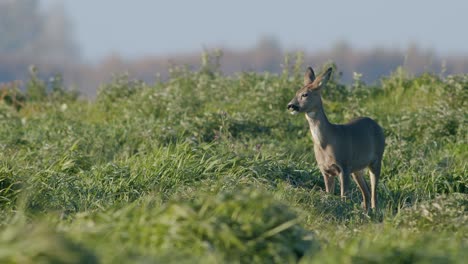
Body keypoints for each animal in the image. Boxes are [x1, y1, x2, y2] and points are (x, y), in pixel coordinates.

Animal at [288, 66, 386, 210]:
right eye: (296, 92)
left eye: (305, 94)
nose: (290, 105)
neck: (326, 142)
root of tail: (378, 125)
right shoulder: (325, 170)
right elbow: (329, 193)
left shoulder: (344, 166)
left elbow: (343, 196)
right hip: (357, 168)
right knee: (366, 192)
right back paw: (366, 211)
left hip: (376, 159)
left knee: (374, 193)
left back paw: (374, 211)